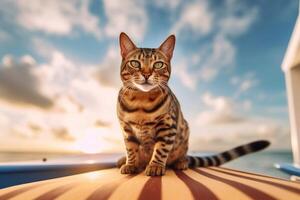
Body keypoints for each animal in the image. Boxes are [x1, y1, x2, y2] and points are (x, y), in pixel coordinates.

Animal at [116, 32, 270, 176]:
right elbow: (131, 149)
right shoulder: (126, 129)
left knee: (182, 155)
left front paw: (155, 165)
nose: (147, 74)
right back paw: (125, 160)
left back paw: (181, 162)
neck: (141, 101)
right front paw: (131, 164)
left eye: (158, 64)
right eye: (135, 63)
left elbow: (161, 149)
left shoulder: (167, 126)